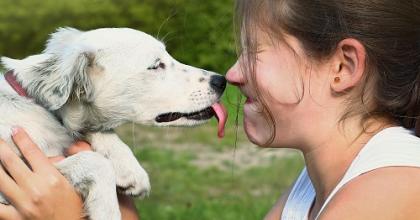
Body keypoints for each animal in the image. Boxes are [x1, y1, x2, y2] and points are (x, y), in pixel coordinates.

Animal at [0, 27, 226, 220]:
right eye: (155, 65)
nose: (221, 81)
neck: (38, 104)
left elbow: (98, 131)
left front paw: (130, 170)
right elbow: (96, 162)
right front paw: (108, 211)